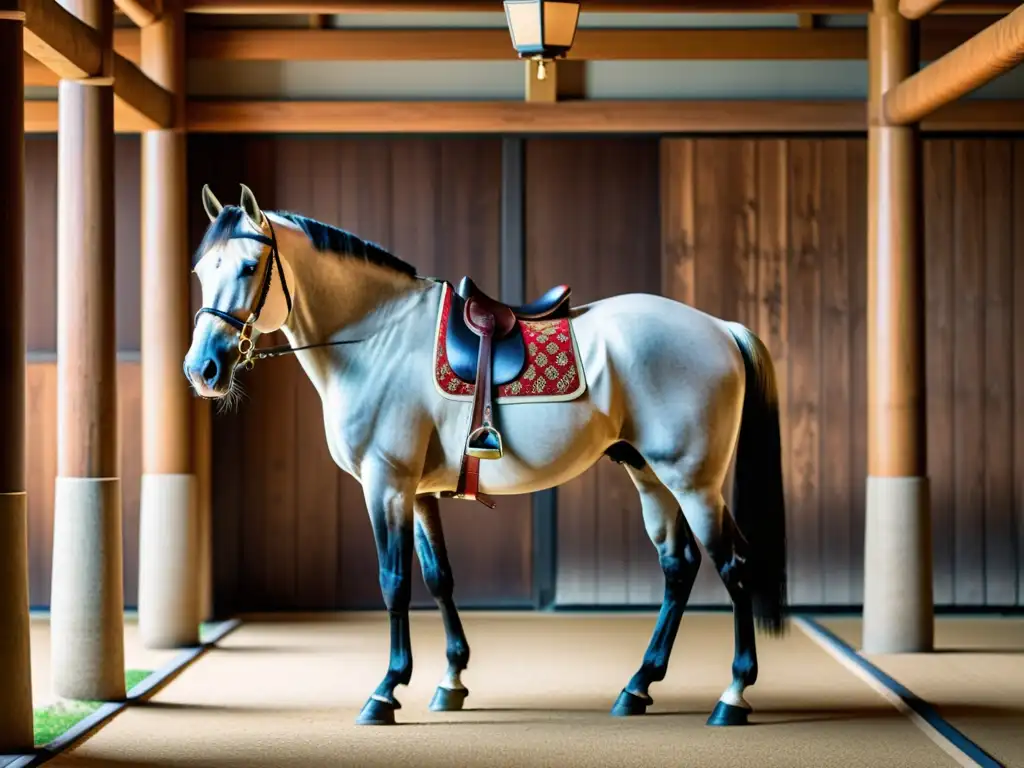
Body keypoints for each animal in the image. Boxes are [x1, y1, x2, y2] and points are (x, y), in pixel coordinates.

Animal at [184, 183, 786, 729]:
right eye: (200, 272)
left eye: (248, 267)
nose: (202, 369)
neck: (376, 337)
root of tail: (720, 328)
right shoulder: (419, 493)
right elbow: (438, 578)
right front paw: (450, 680)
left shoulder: (386, 484)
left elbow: (394, 581)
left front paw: (385, 692)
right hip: (651, 475)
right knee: (678, 567)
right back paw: (637, 687)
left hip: (694, 482)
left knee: (733, 566)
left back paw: (732, 695)